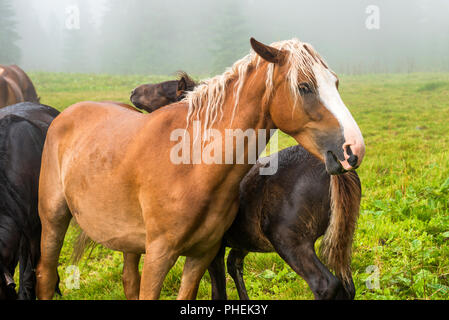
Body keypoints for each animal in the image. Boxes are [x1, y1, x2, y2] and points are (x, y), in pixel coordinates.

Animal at [207, 146, 360, 302]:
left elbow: (218, 290)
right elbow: (232, 265)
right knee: (347, 286)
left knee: (325, 284)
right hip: (341, 236)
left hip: (288, 240)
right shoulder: (244, 239)